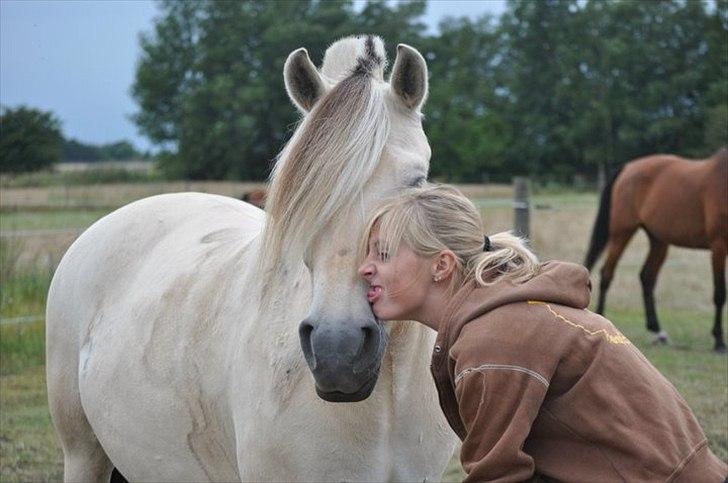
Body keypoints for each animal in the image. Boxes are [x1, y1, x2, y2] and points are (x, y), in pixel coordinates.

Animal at [584, 147, 728, 352]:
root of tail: (628, 167)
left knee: (647, 277)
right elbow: (720, 293)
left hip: (658, 241)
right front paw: (719, 341)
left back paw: (658, 331)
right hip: (622, 232)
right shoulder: (718, 244)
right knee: (607, 273)